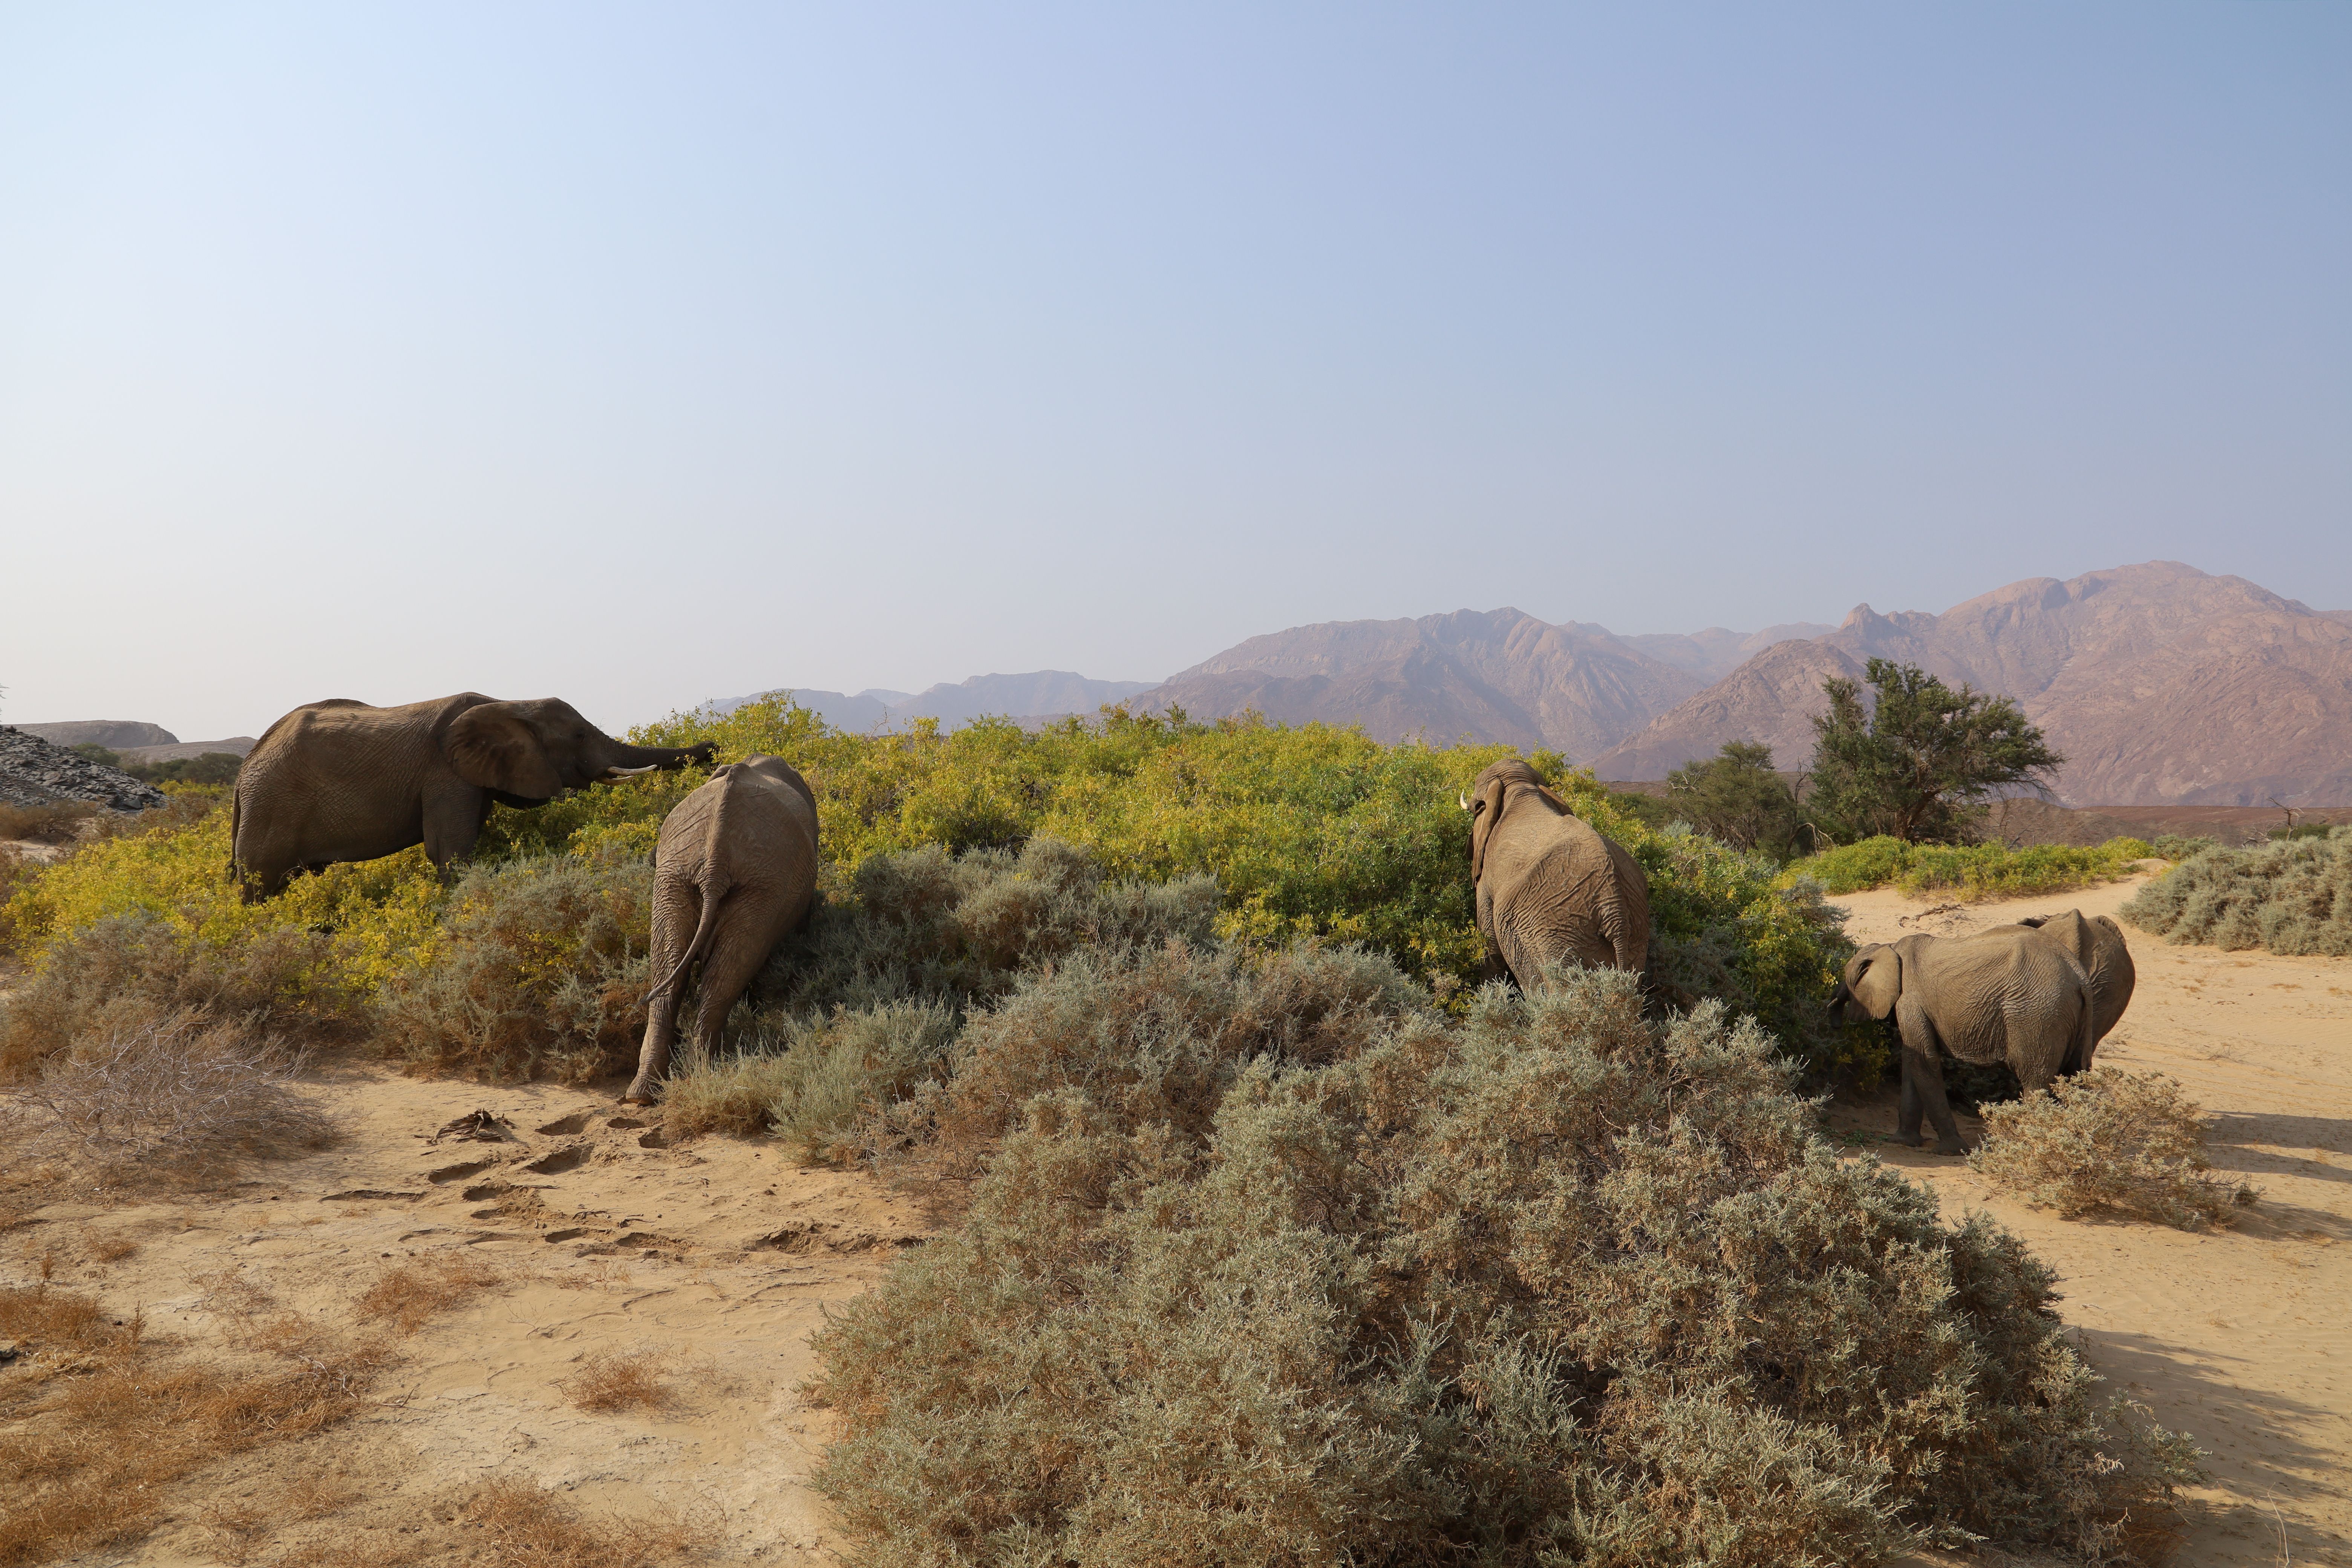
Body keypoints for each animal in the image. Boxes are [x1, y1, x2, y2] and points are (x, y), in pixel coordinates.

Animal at [231, 693, 713, 900]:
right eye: (578, 735)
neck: (510, 702)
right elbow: (450, 851)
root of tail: (243, 771)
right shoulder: (446, 774)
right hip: (272, 805)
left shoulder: (474, 776)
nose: (712, 749)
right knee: (260, 883)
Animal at [623, 755, 819, 1105]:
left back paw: (647, 1093)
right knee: (722, 977)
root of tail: (715, 861)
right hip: (757, 885)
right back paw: (697, 1079)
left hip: (681, 877)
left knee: (673, 972)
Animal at [1462, 757, 1650, 987]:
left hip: (1555, 933)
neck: (1520, 788)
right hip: (1636, 930)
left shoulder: (1487, 876)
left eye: (1476, 808)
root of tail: (1615, 910)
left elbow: (1490, 941)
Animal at [1829, 928, 2098, 1155]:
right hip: (2071, 1019)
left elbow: (1923, 1060)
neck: (1889, 947)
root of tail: (2078, 974)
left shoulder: (1910, 999)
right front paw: (1904, 1142)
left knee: (2036, 1079)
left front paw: (1952, 1151)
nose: (1836, 1024)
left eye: (1847, 976)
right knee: (2075, 1075)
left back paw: (2029, 1147)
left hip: (2037, 1015)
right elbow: (1912, 1061)